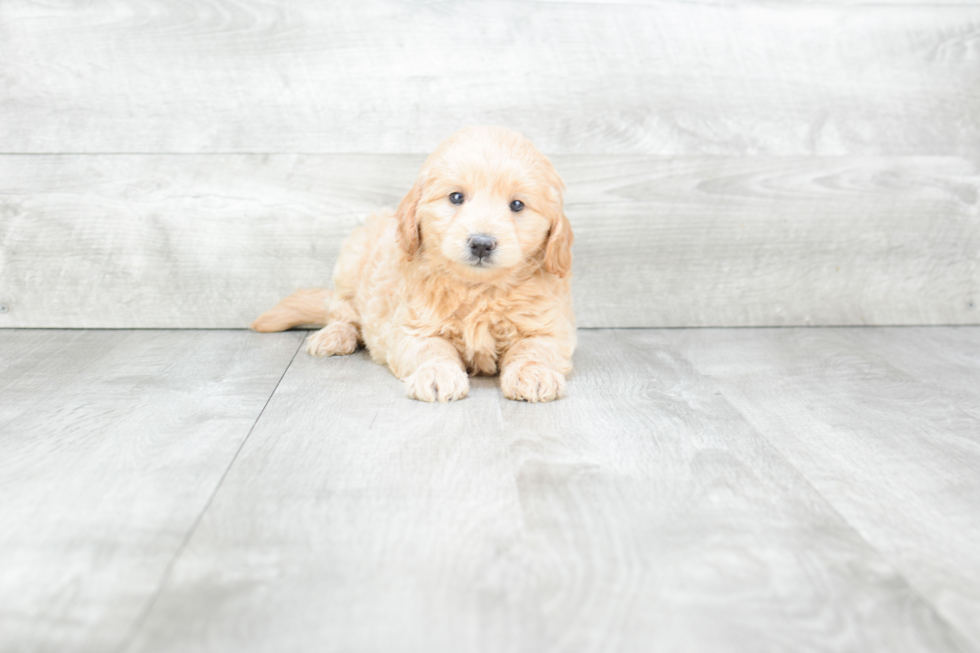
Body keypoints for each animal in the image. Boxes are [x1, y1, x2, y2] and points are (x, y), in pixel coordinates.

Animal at [253, 126, 576, 402]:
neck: (479, 289)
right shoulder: (413, 328)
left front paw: (534, 374)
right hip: (350, 262)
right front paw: (437, 374)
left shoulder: (548, 327)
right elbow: (432, 349)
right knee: (343, 313)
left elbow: (534, 348)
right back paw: (334, 336)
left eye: (517, 205)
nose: (481, 244)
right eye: (456, 197)